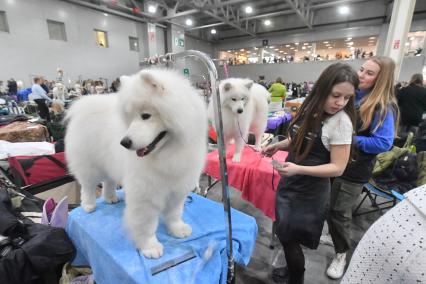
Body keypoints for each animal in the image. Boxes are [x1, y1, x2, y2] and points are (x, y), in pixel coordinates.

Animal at [63, 68, 208, 258]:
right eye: (130, 119)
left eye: (146, 116)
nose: (124, 142)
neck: (168, 153)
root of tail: (87, 104)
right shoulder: (144, 193)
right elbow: (145, 224)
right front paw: (150, 247)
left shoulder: (178, 188)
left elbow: (174, 213)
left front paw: (177, 229)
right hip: (89, 166)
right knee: (87, 186)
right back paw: (88, 205)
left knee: (108, 181)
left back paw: (110, 198)